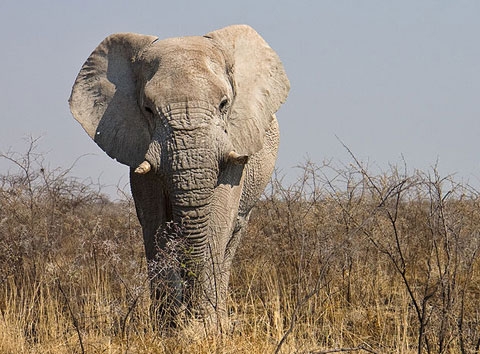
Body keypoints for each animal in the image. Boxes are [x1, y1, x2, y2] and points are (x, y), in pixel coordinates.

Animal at [68, 24, 288, 332]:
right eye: (148, 109)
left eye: (224, 105)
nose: (192, 317)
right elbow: (155, 222)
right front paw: (169, 329)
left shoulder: (234, 144)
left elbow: (218, 220)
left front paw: (205, 329)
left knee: (233, 234)